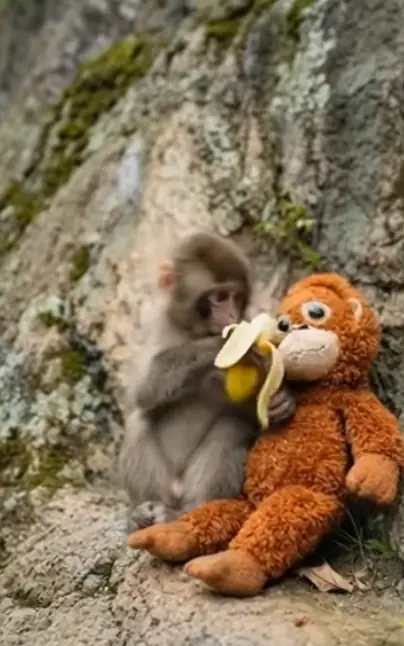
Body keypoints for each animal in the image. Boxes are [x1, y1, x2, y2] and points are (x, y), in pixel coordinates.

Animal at [118, 233, 296, 532]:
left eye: (236, 297)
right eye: (220, 297)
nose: (231, 316)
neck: (193, 331)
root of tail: (178, 493)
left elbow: (248, 413)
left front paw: (281, 403)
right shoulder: (155, 326)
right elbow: (142, 390)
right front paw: (223, 344)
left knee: (231, 426)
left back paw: (191, 513)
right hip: (166, 484)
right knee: (138, 421)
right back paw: (143, 515)